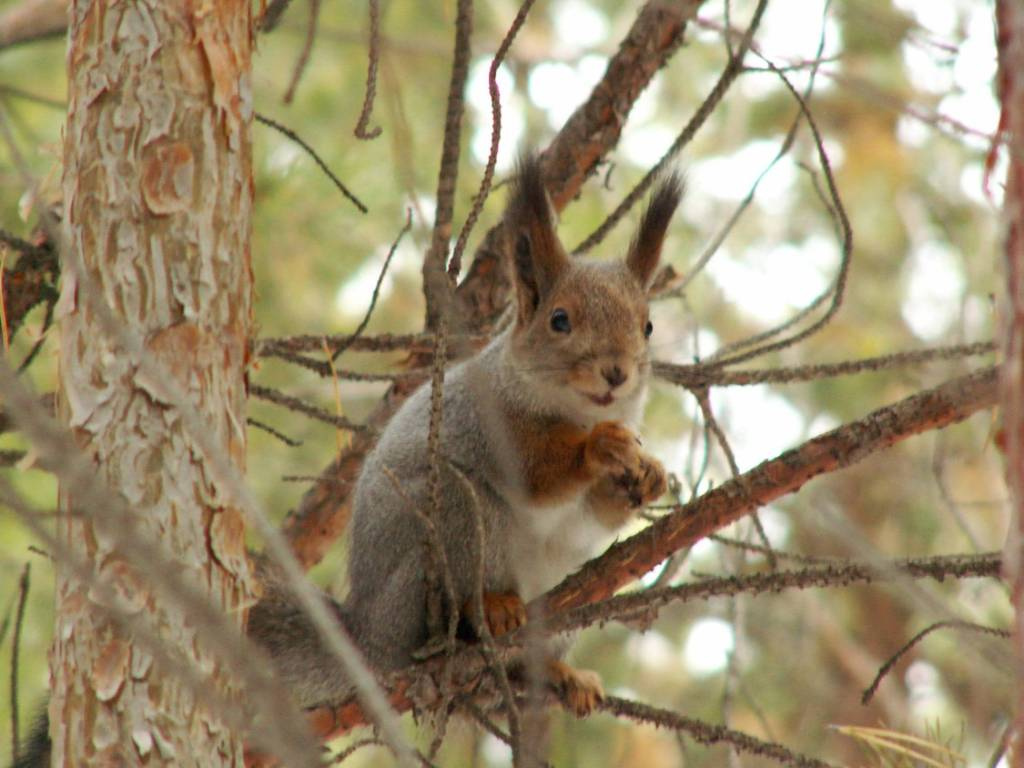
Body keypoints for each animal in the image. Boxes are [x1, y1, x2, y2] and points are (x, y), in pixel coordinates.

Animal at [250, 154, 681, 717]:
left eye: (648, 326)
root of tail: (370, 639)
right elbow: (535, 476)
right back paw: (490, 608)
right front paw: (599, 448)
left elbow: (594, 514)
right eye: (559, 320)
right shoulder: (486, 421)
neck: (575, 412)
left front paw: (648, 477)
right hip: (449, 522)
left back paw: (559, 674)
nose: (616, 372)